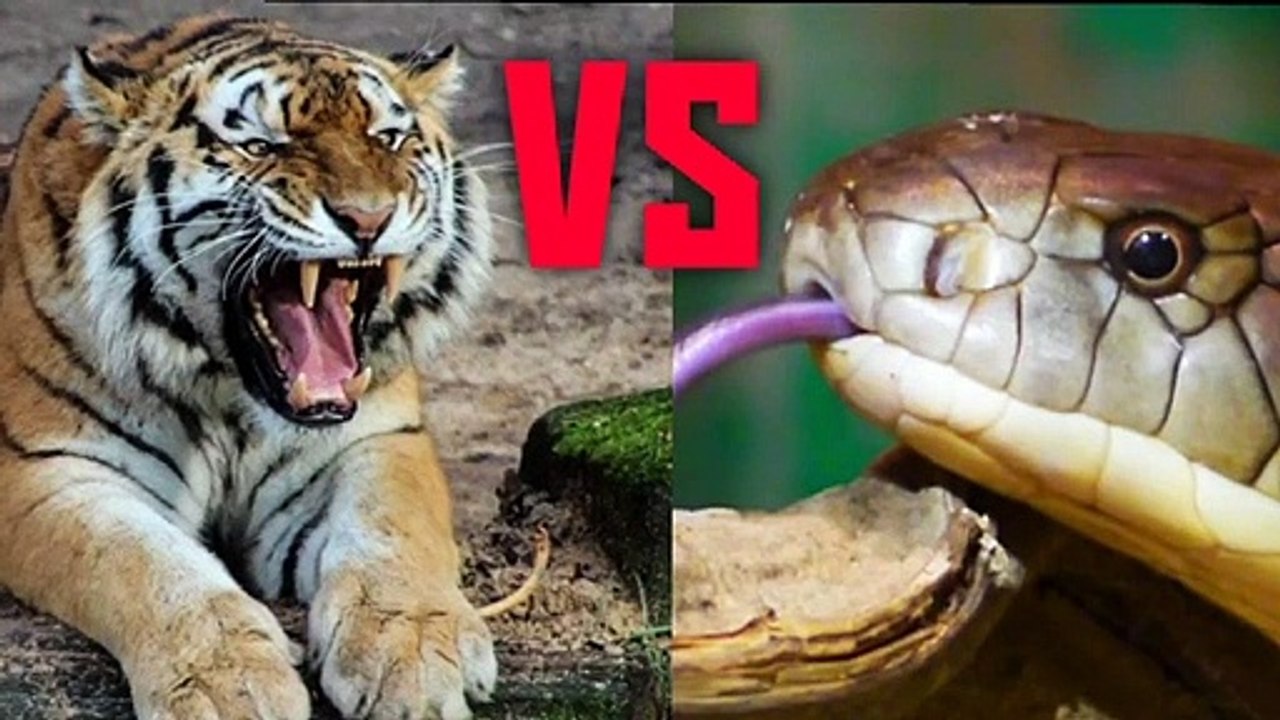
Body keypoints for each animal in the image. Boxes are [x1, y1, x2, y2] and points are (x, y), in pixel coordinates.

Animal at [0, 14, 498, 720]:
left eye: (388, 138)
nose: (368, 217)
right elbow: (143, 562)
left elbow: (394, 530)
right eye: (262, 146)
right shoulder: (50, 470)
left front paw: (416, 650)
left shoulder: (375, 440)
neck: (230, 395)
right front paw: (227, 682)